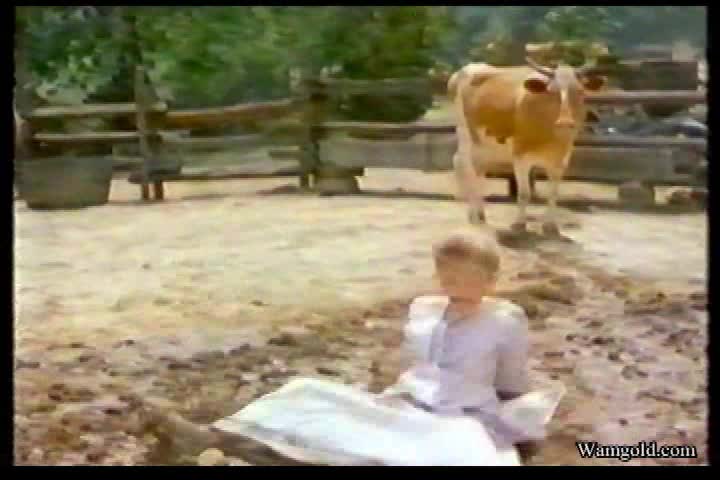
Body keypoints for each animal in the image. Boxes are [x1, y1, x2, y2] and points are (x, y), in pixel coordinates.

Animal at [448, 58, 606, 236]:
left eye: (580, 92)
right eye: (551, 92)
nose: (565, 124)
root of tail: (471, 67)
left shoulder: (561, 160)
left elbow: (553, 193)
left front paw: (550, 226)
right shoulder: (520, 155)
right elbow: (524, 193)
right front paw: (519, 224)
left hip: (486, 144)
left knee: (479, 169)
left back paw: (480, 214)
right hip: (466, 134)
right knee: (465, 165)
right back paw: (473, 214)